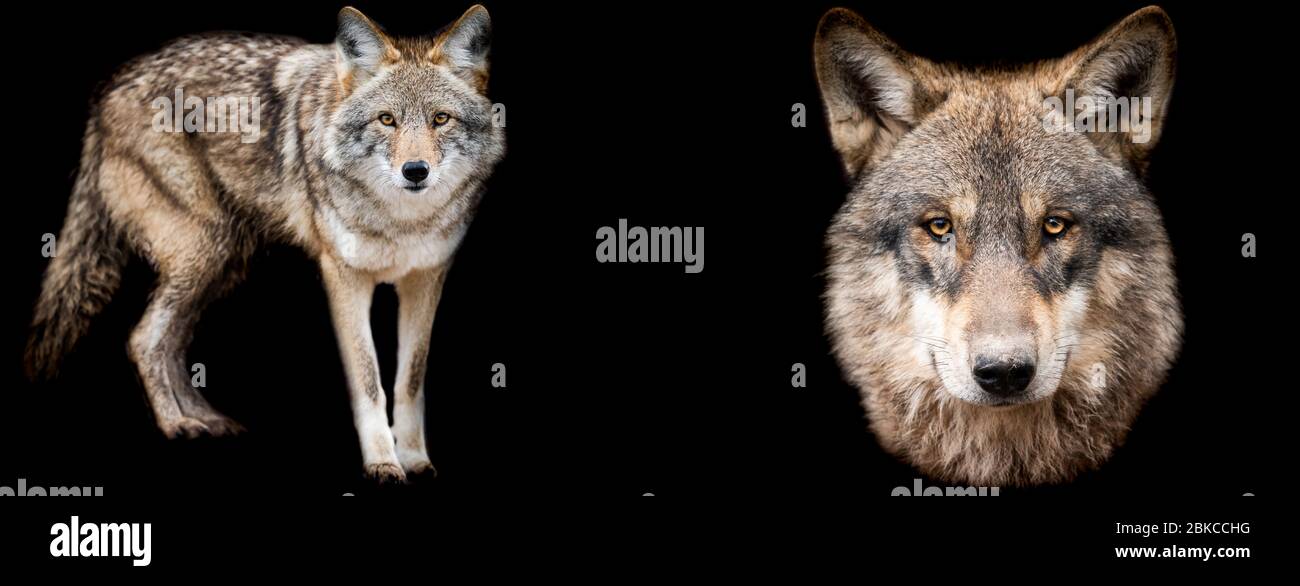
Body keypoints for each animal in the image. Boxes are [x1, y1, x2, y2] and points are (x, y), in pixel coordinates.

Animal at [25, 5, 504, 482]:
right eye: (387, 120)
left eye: (440, 119)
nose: (415, 171)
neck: (402, 218)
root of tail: (108, 90)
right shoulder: (343, 278)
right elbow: (369, 381)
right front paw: (383, 463)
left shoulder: (426, 277)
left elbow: (410, 379)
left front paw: (415, 459)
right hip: (204, 253)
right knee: (143, 339)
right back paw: (177, 423)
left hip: (222, 266)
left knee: (169, 343)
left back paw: (204, 418)